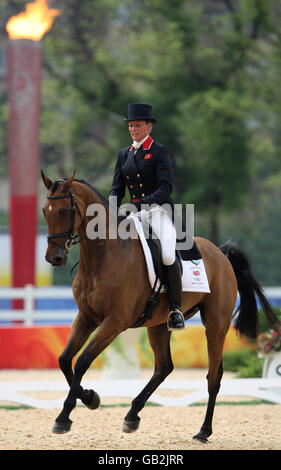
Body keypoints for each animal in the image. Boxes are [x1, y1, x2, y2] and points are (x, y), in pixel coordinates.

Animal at [40, 171, 278, 442]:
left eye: (64, 211)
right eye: (45, 211)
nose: (54, 258)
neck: (101, 257)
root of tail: (220, 253)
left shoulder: (114, 321)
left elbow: (82, 361)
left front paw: (65, 417)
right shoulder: (86, 317)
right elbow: (64, 360)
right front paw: (90, 398)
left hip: (216, 325)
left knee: (213, 377)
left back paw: (203, 431)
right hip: (158, 325)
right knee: (164, 367)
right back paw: (132, 415)